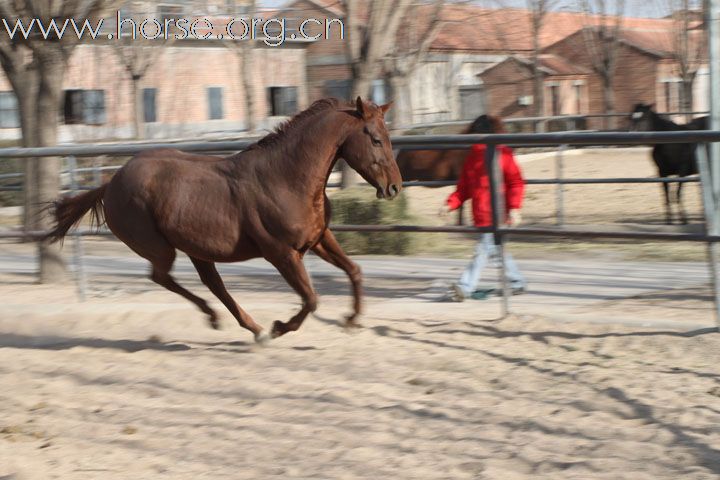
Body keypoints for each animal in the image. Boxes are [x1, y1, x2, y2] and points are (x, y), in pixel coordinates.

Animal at [43, 97, 402, 344]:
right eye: (375, 138)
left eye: (388, 136)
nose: (395, 187)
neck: (285, 178)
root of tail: (110, 183)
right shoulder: (282, 254)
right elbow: (311, 299)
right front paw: (280, 327)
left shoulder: (318, 238)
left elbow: (354, 271)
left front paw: (351, 320)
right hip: (161, 247)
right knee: (163, 277)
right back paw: (231, 322)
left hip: (197, 249)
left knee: (211, 283)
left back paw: (249, 327)